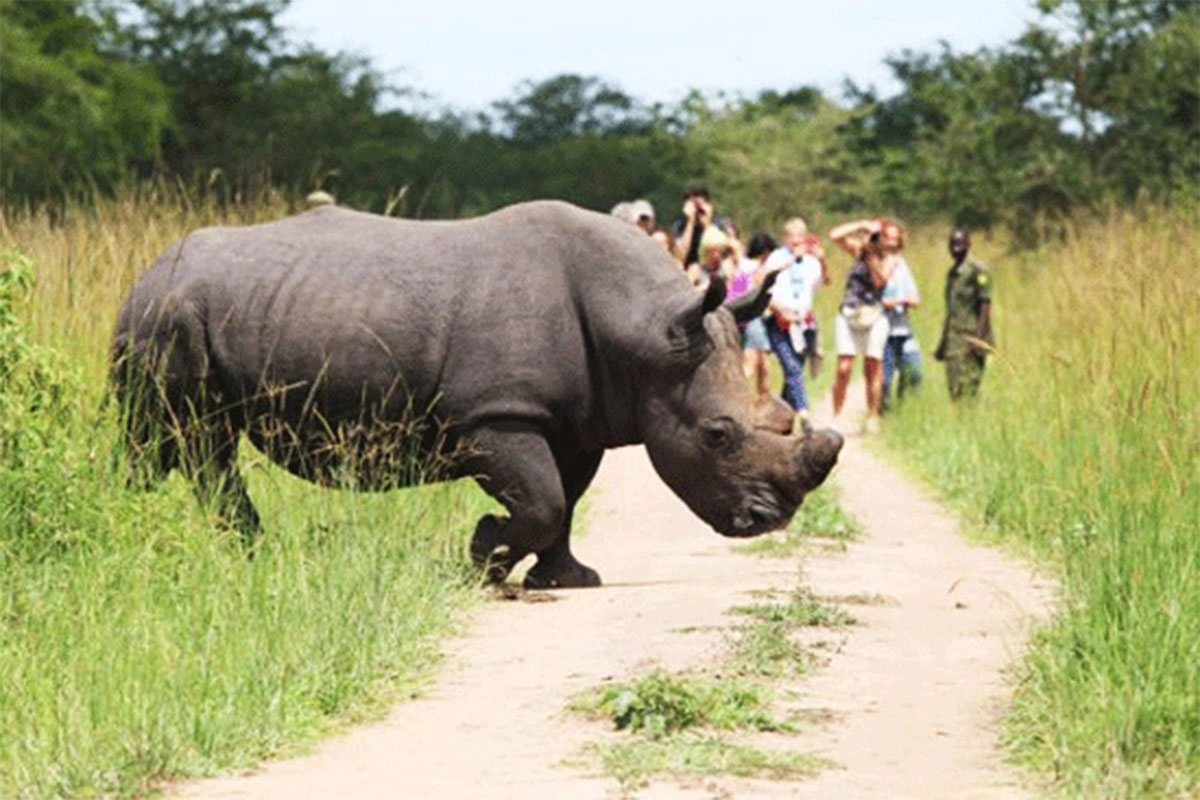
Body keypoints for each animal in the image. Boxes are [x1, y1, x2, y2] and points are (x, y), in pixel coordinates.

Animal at [111, 201, 842, 588]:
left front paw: (565, 579)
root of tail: (147, 270)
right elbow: (542, 499)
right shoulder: (496, 415)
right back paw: (240, 552)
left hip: (179, 313)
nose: (769, 520)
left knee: (170, 449)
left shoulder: (576, 418)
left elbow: (564, 498)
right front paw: (481, 556)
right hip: (170, 319)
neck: (646, 333)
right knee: (194, 443)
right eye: (717, 435)